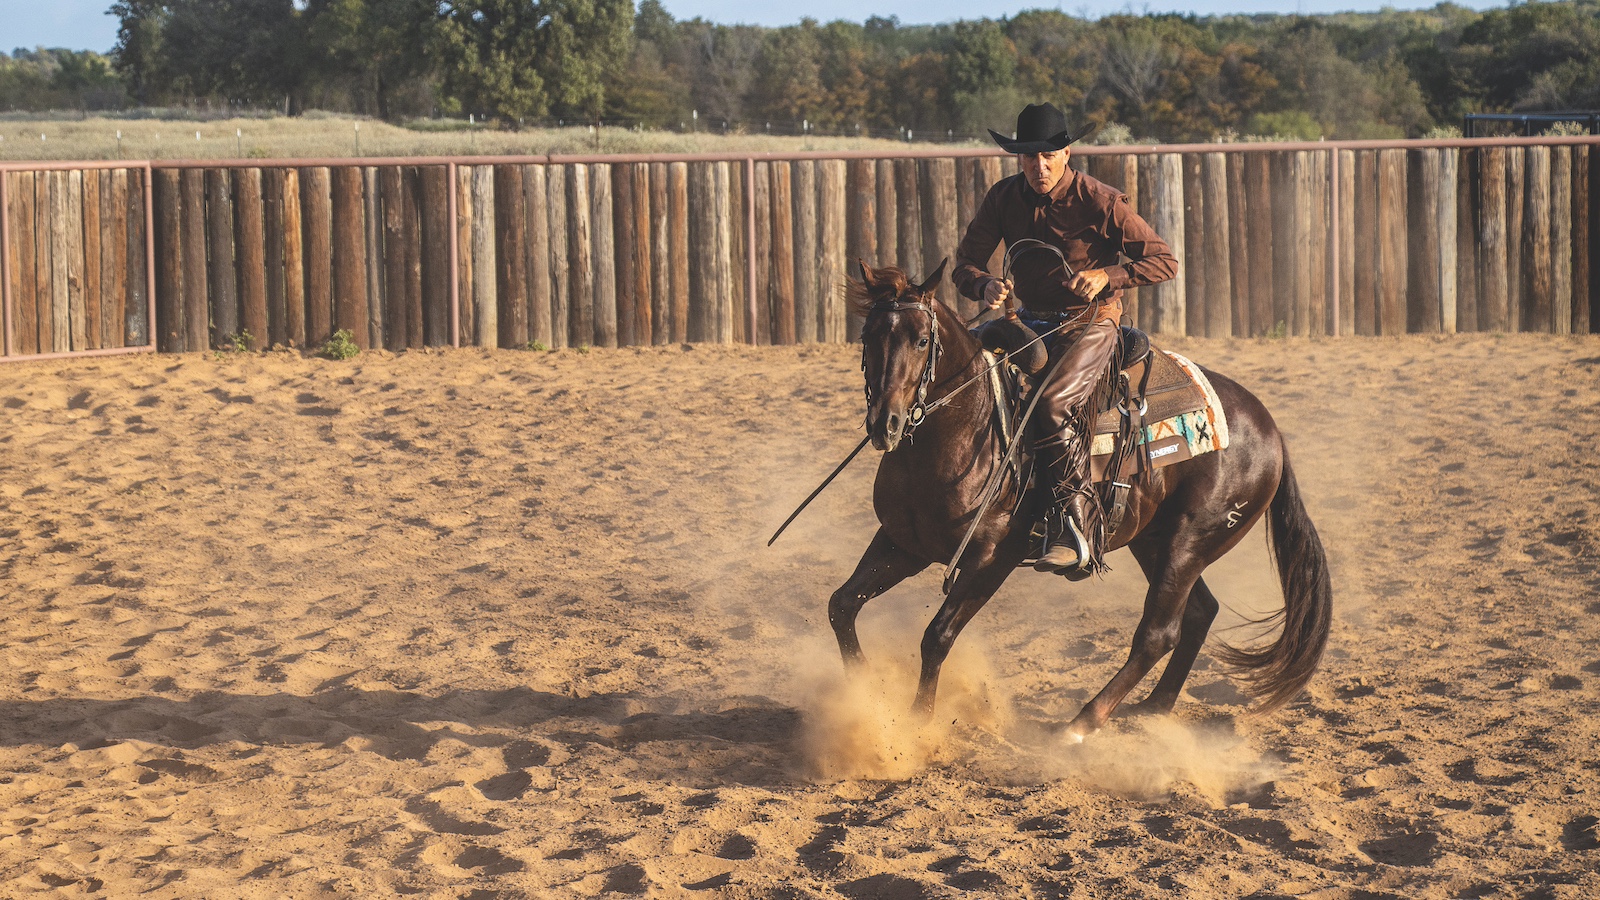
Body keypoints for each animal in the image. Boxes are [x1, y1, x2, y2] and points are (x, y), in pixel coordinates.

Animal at [827, 261, 1332, 741]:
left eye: (920, 340)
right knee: (1199, 612)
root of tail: (1270, 430)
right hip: (1153, 539)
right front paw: (864, 689)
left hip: (1191, 541)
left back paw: (1081, 725)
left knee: (1158, 633)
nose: (886, 424)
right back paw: (1153, 708)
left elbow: (937, 635)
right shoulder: (902, 543)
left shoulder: (991, 557)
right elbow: (842, 604)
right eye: (868, 337)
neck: (971, 428)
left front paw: (917, 721)